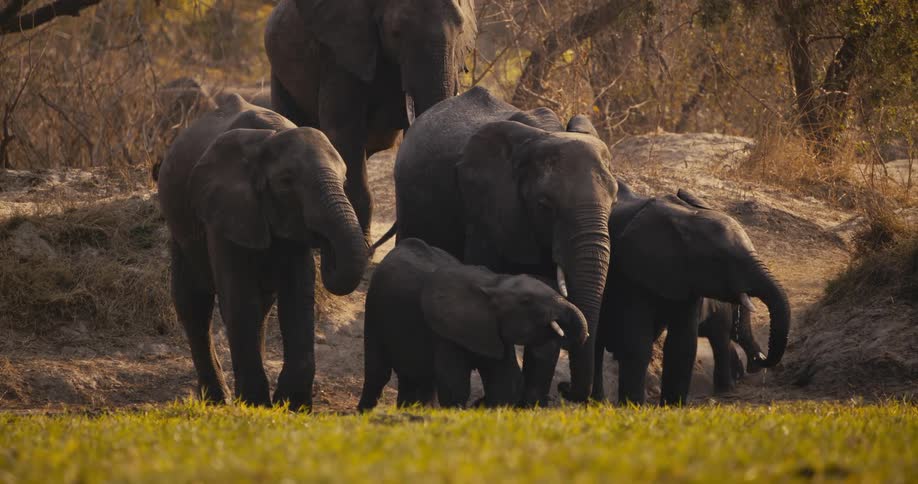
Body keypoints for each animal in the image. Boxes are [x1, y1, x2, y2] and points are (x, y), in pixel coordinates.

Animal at [157, 94, 368, 410]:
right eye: (286, 180)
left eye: (344, 180)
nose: (326, 246)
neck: (270, 138)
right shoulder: (223, 210)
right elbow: (239, 297)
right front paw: (256, 404)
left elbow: (297, 297)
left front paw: (292, 405)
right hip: (180, 222)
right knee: (193, 304)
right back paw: (218, 399)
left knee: (262, 307)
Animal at [357, 238, 588, 411]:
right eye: (526, 301)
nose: (563, 386)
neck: (494, 284)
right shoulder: (444, 332)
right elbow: (455, 385)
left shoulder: (494, 331)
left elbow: (505, 382)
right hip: (375, 308)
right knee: (378, 373)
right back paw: (365, 415)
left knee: (418, 379)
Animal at [388, 86, 619, 405]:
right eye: (544, 204)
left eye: (615, 200)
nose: (565, 389)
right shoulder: (484, 205)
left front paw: (529, 403)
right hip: (410, 202)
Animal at [588, 180, 789, 405]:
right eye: (724, 260)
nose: (761, 360)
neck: (688, 218)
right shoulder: (631, 272)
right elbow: (638, 342)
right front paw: (634, 406)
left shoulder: (686, 278)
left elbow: (683, 343)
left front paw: (671, 407)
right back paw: (597, 402)